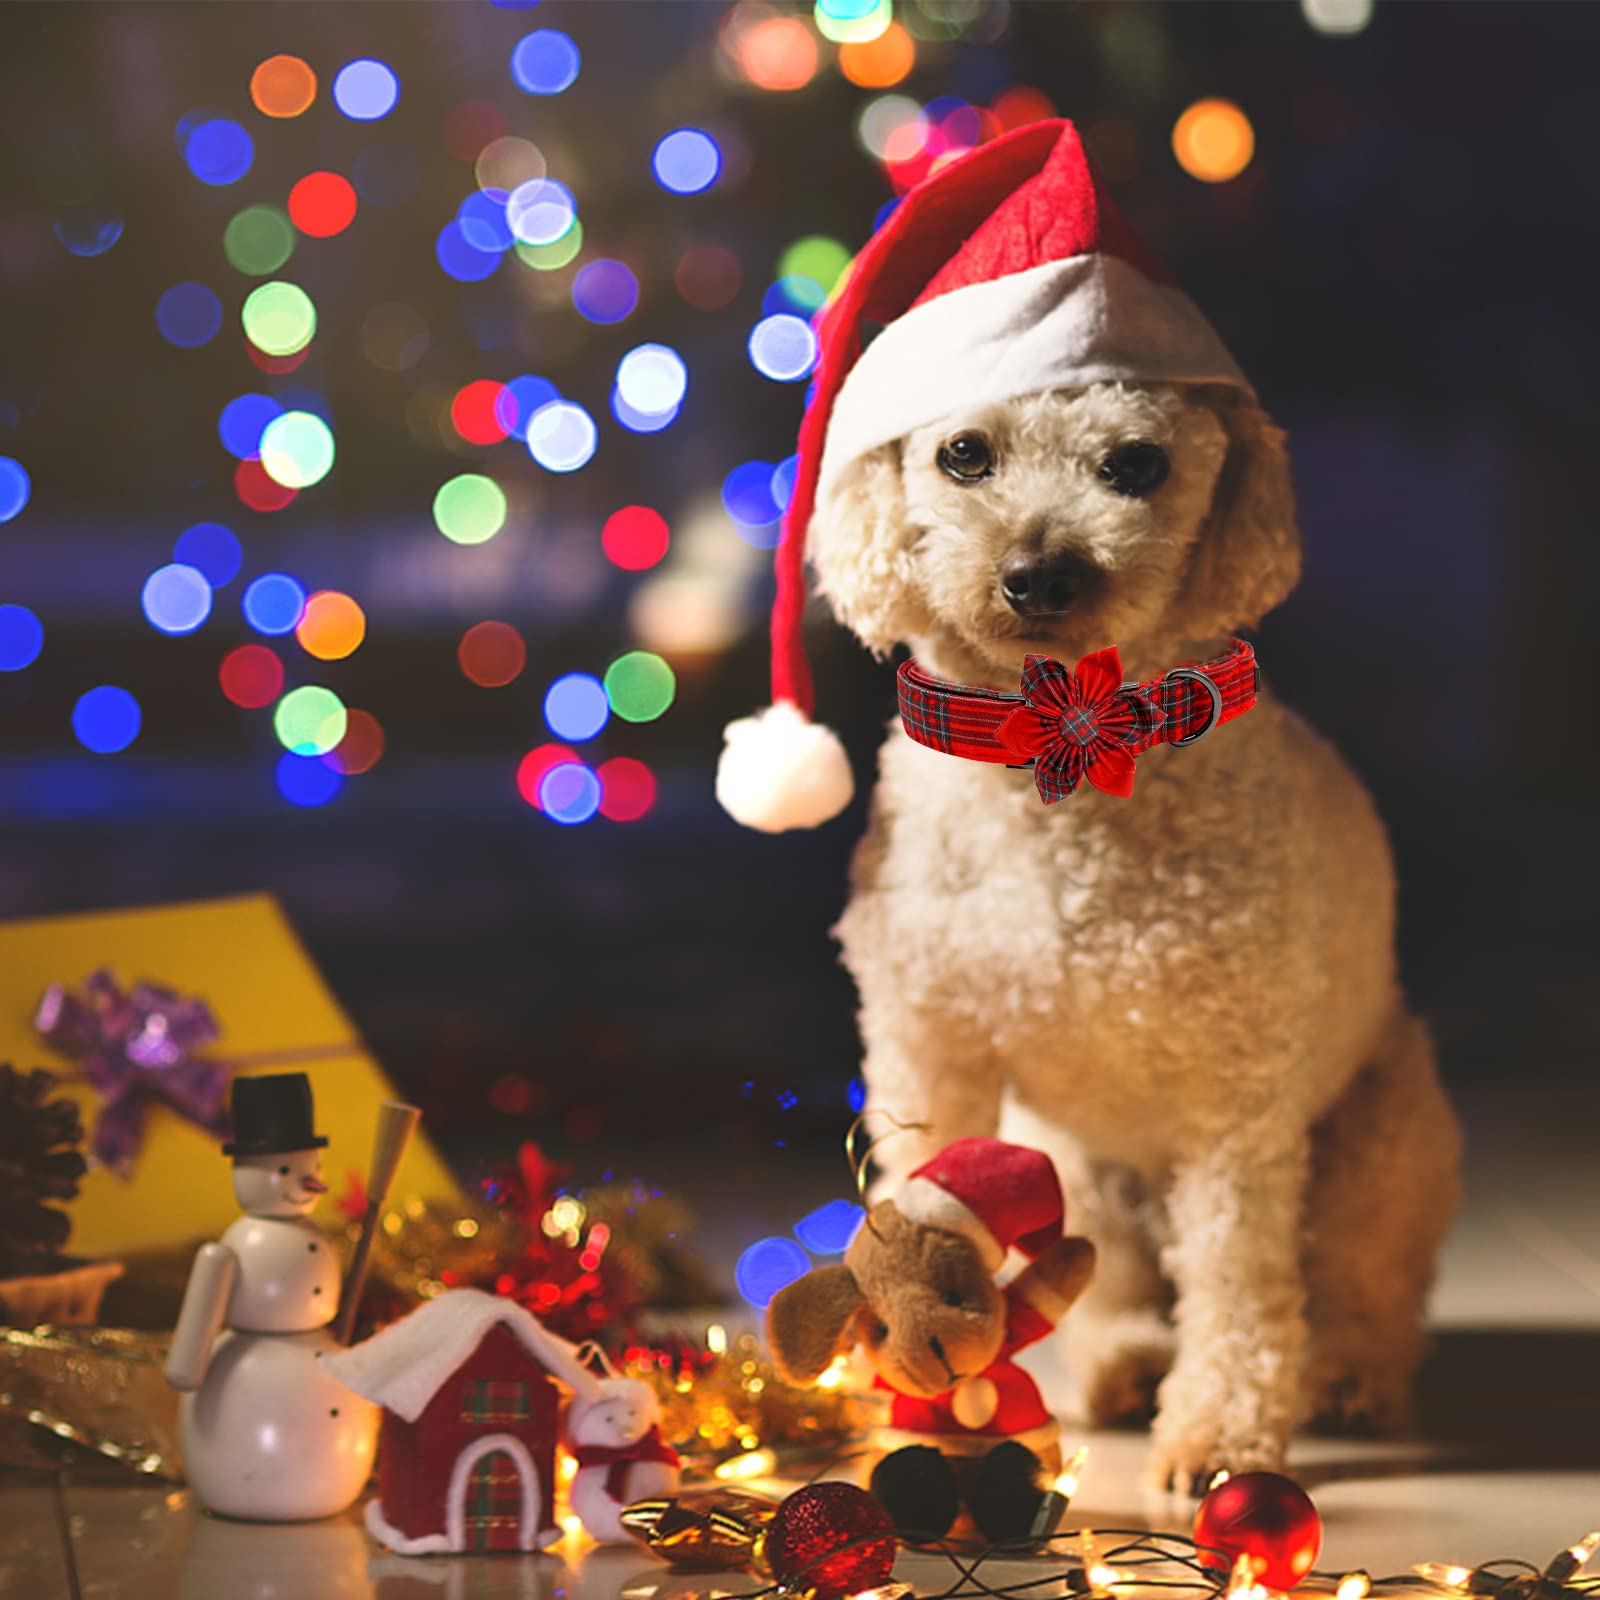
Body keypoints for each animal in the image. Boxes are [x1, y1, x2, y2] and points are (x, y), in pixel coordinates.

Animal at [812, 380, 1465, 1491]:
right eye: (962, 454)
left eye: (1135, 464)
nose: (1039, 574)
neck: (1064, 743)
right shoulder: (929, 1051)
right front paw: (926, 1410)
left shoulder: (1236, 1101)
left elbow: (1237, 1274)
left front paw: (1221, 1435)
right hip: (1061, 1165)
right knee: (1103, 1291)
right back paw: (1125, 1367)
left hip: (1384, 1137)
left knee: (1360, 1288)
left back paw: (1349, 1376)